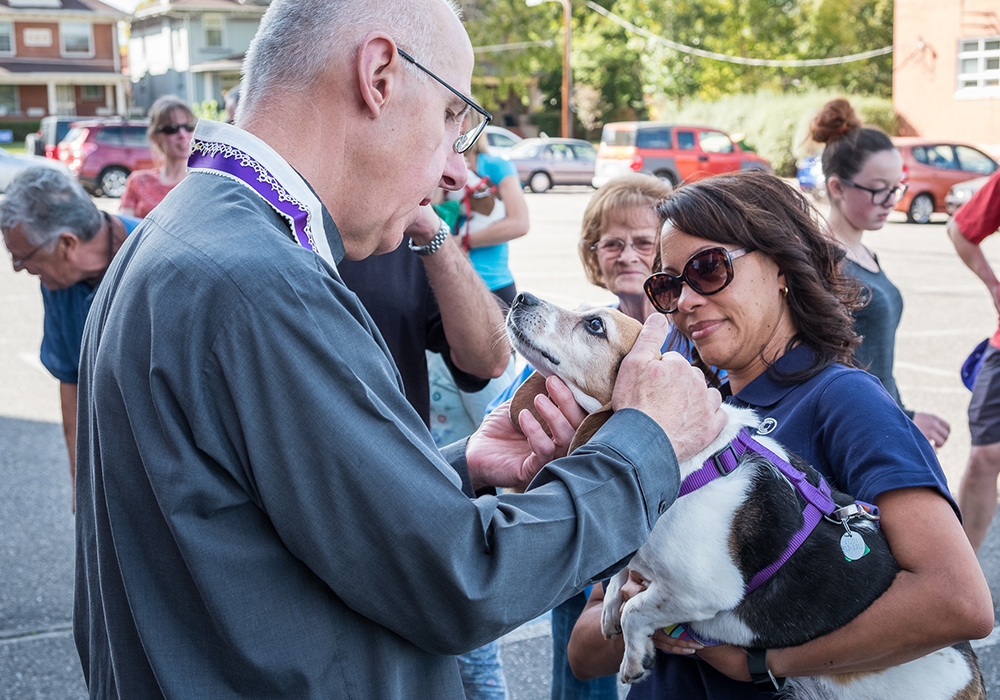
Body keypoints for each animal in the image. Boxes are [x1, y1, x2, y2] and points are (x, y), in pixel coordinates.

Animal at [508, 292, 984, 700]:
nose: (520, 297)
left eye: (594, 325)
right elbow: (620, 578)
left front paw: (634, 651)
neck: (691, 461)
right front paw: (611, 608)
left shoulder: (699, 591)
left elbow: (636, 609)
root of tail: (973, 677)